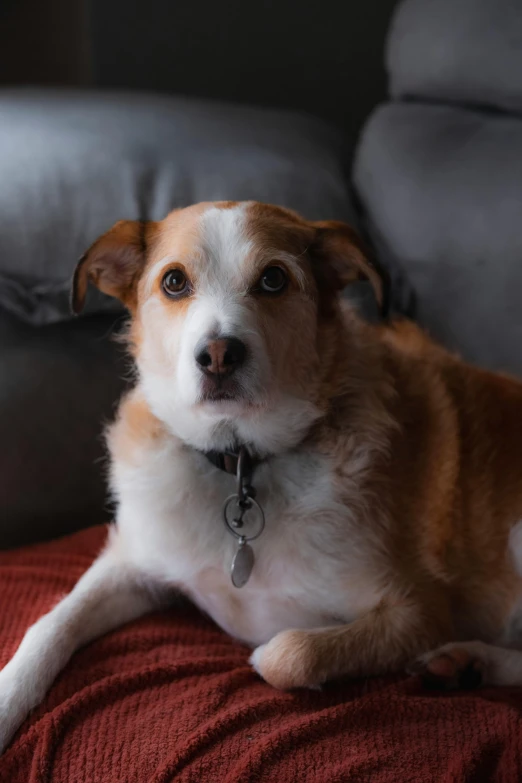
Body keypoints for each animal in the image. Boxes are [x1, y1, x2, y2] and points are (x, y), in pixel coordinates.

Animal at [1, 201, 520, 752]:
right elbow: (51, 623)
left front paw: (270, 652)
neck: (241, 462)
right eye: (174, 282)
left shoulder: (420, 610)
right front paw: (7, 698)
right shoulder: (131, 563)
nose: (218, 355)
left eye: (273, 279)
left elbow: (288, 654)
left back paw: (472, 660)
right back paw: (467, 664)